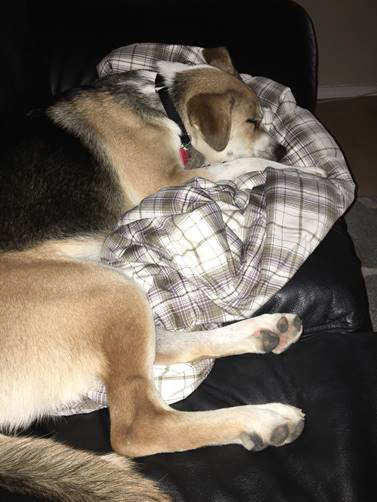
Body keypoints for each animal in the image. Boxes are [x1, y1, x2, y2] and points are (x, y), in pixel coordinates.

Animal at [0, 47, 304, 502]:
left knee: (167, 347)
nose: (284, 151)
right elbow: (244, 163)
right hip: (106, 287)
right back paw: (262, 420)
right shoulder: (167, 179)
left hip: (108, 292)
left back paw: (265, 331)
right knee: (138, 427)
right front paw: (300, 170)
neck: (164, 101)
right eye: (252, 121)